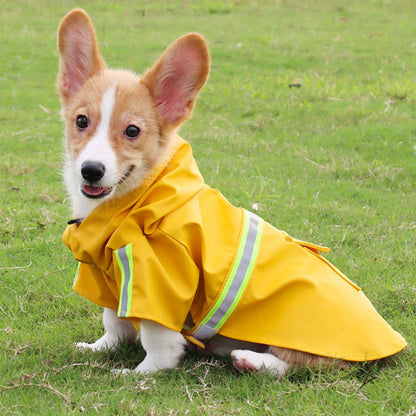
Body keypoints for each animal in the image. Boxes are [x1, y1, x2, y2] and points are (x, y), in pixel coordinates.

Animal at [57, 8, 406, 376]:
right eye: (81, 121)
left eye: (133, 131)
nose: (91, 170)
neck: (132, 201)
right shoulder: (109, 276)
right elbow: (113, 320)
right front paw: (99, 348)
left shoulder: (160, 283)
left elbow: (158, 343)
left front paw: (140, 374)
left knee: (302, 363)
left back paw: (251, 360)